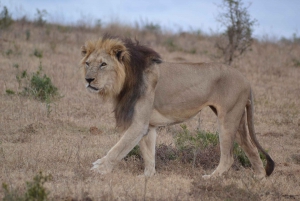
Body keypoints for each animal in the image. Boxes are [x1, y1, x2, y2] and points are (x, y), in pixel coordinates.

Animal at [79, 34, 274, 179]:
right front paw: (147, 176)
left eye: (103, 64)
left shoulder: (138, 124)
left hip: (227, 119)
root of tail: (247, 81)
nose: (88, 80)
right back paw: (259, 178)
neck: (125, 80)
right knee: (252, 149)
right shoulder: (148, 126)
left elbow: (118, 149)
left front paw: (99, 168)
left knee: (228, 158)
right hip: (238, 119)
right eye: (88, 63)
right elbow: (148, 154)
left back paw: (210, 178)